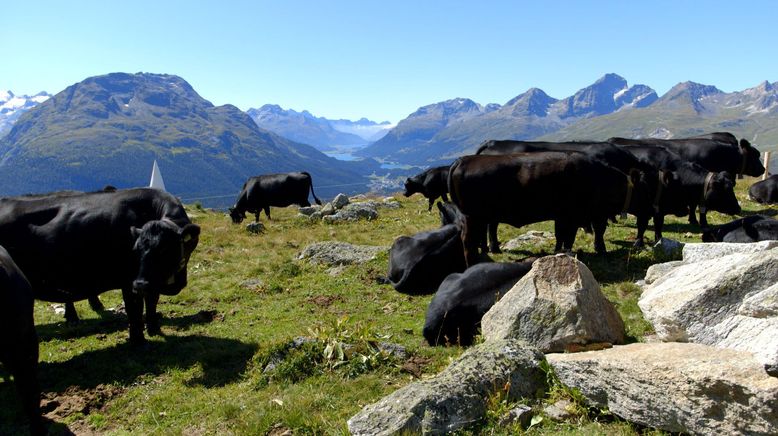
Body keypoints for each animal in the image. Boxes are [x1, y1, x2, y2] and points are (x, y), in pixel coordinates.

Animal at [0, 187, 200, 344]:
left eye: (164, 249)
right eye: (135, 249)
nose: (140, 284)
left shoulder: (151, 280)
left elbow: (152, 302)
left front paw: (154, 329)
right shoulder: (129, 279)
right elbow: (134, 309)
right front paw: (139, 341)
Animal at [446, 150, 656, 266]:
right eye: (644, 191)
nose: (652, 211)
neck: (599, 178)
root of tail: (463, 160)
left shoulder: (563, 217)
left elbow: (561, 236)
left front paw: (559, 252)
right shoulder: (575, 216)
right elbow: (574, 236)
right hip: (474, 217)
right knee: (468, 242)